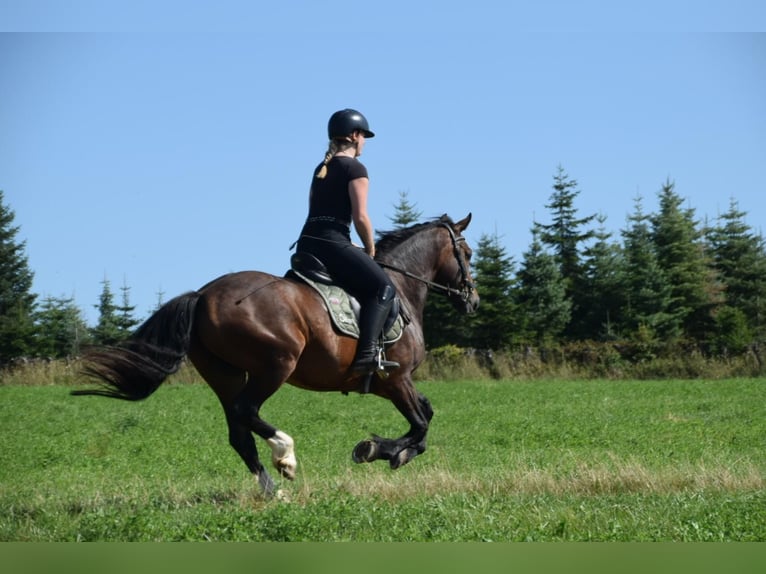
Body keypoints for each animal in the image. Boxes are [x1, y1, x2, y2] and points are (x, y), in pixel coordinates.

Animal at [72, 214, 480, 498]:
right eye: (468, 253)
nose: (473, 300)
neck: (402, 288)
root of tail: (202, 295)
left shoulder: (389, 383)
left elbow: (425, 418)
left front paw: (388, 451)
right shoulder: (396, 379)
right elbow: (421, 423)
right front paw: (375, 449)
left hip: (225, 374)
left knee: (239, 432)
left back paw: (273, 491)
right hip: (275, 364)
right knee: (247, 411)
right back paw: (286, 456)